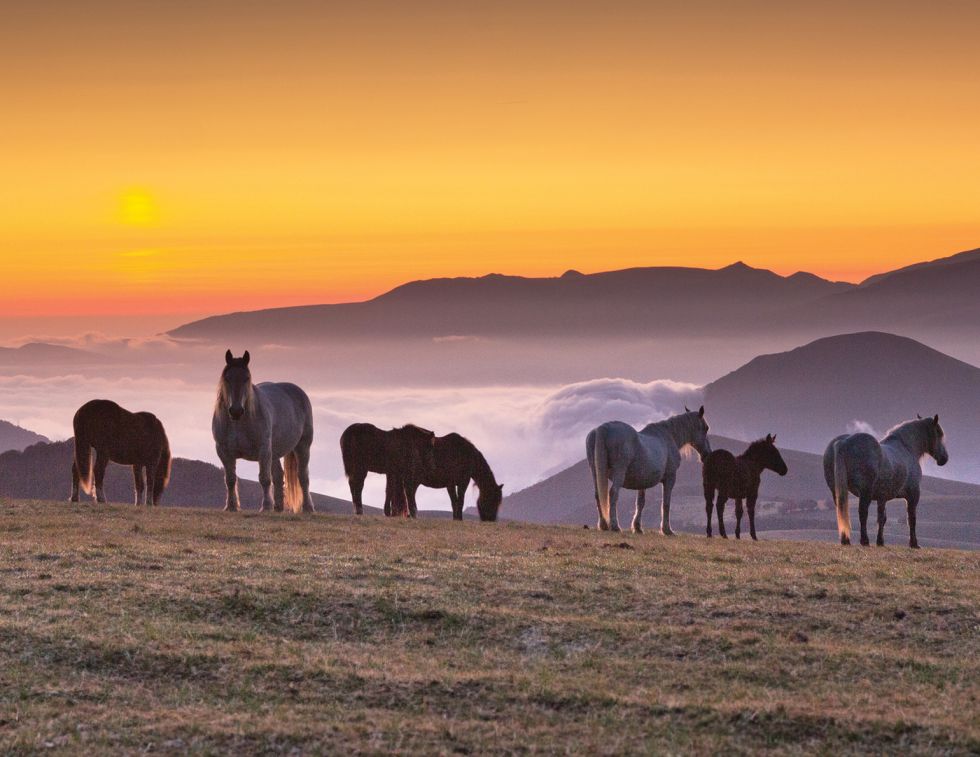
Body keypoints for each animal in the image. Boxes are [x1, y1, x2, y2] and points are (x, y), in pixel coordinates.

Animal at [212, 350, 315, 513]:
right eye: (227, 378)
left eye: (247, 378)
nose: (236, 411)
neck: (239, 423)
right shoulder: (224, 452)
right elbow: (230, 479)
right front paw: (231, 506)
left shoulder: (263, 450)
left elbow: (265, 479)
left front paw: (266, 506)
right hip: (275, 452)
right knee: (279, 476)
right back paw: (278, 507)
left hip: (302, 446)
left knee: (303, 476)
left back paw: (308, 508)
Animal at [586, 406, 711, 534]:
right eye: (706, 428)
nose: (707, 454)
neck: (669, 437)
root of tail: (603, 428)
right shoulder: (670, 478)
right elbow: (666, 503)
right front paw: (667, 530)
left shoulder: (642, 482)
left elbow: (640, 503)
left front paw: (637, 527)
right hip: (619, 472)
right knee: (613, 493)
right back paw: (615, 526)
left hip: (595, 472)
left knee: (598, 495)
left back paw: (603, 525)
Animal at [823, 415, 948, 549]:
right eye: (939, 433)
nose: (944, 458)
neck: (906, 448)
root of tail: (843, 442)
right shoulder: (913, 495)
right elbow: (911, 519)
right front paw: (914, 543)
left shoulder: (882, 498)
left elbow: (882, 518)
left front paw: (880, 541)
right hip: (865, 492)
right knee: (863, 512)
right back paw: (864, 540)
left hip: (836, 491)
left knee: (841, 510)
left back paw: (845, 539)